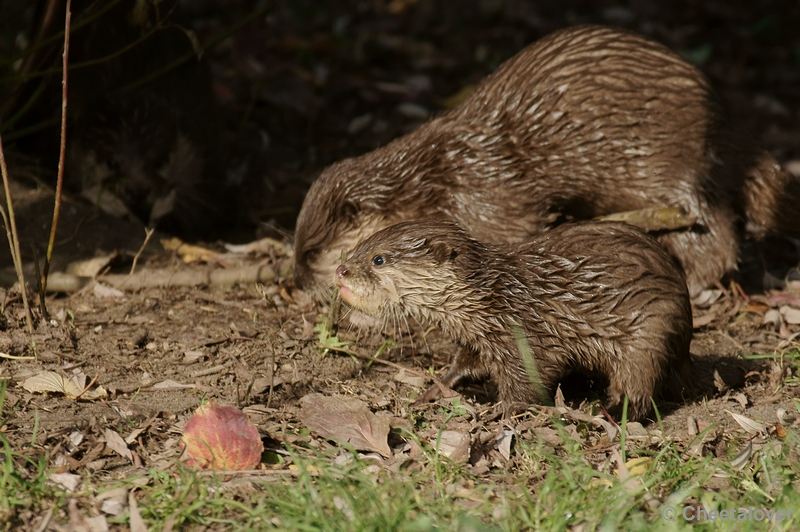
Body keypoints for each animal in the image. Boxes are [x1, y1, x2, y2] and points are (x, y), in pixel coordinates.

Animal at [296, 23, 800, 300]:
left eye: (311, 252)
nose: (299, 282)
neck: (438, 178)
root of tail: (724, 117)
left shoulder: (488, 199)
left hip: (672, 166)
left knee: (715, 232)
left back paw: (696, 281)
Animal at [332, 218, 692, 422]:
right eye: (359, 247)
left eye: (378, 259)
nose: (341, 270)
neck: (498, 300)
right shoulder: (482, 338)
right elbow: (465, 364)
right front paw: (433, 390)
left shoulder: (524, 336)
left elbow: (529, 381)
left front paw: (497, 412)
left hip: (651, 334)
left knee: (639, 389)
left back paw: (604, 411)